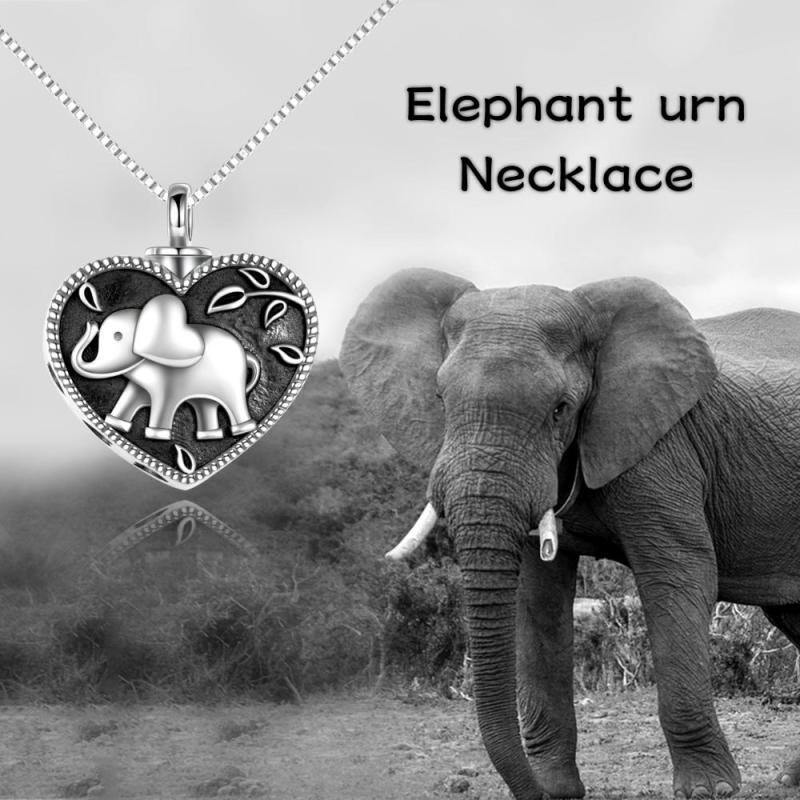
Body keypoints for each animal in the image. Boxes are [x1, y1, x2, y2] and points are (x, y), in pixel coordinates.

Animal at [71, 294, 260, 440]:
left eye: (118, 336)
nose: (91, 325)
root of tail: (247, 355)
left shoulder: (169, 380)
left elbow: (164, 400)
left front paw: (156, 434)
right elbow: (131, 395)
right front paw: (115, 423)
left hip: (232, 383)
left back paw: (242, 429)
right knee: (205, 404)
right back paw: (209, 436)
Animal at [340, 268, 800, 800]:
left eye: (561, 409)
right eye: (440, 400)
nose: (532, 793)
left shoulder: (662, 446)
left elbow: (678, 577)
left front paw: (709, 791)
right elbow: (537, 598)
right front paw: (554, 789)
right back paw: (791, 777)